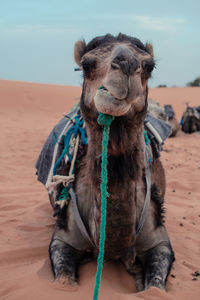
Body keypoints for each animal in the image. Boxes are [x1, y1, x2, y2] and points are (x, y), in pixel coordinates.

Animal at [47, 32, 174, 290]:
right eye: (86, 65)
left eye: (149, 66)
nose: (126, 63)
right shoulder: (62, 239)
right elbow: (63, 282)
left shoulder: (160, 241)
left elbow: (155, 287)